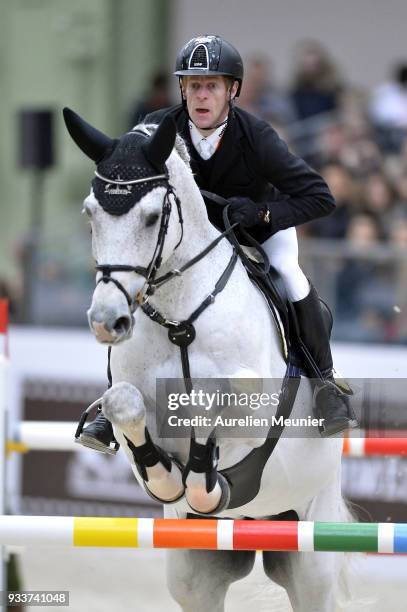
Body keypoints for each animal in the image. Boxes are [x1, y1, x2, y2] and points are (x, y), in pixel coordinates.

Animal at [63, 109, 354, 612]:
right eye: (90, 214)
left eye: (152, 217)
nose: (107, 322)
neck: (181, 318)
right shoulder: (130, 407)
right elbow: (127, 408)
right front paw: (168, 479)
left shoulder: (253, 417)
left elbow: (211, 405)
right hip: (196, 569)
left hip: (312, 553)